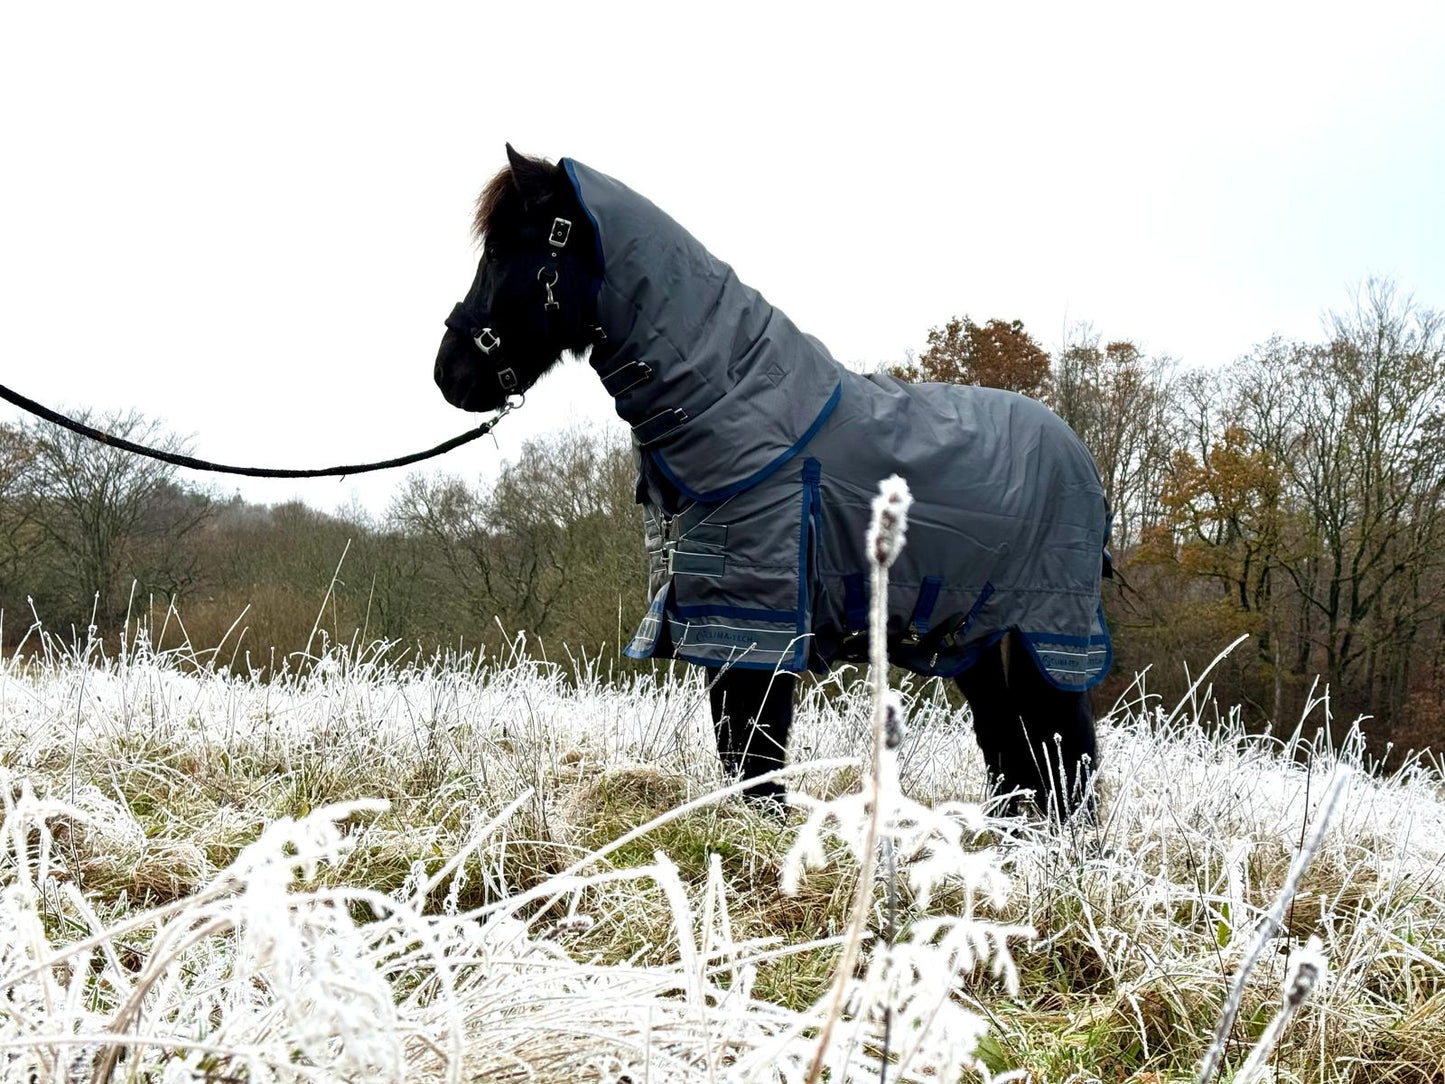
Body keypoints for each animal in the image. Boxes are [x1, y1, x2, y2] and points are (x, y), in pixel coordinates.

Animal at [433, 148, 1109, 820]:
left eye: (505, 252)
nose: (448, 376)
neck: (742, 407)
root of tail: (1079, 455)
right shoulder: (713, 621)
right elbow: (738, 749)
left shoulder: (756, 625)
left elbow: (755, 752)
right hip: (977, 641)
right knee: (1014, 748)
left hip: (1046, 640)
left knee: (1061, 745)